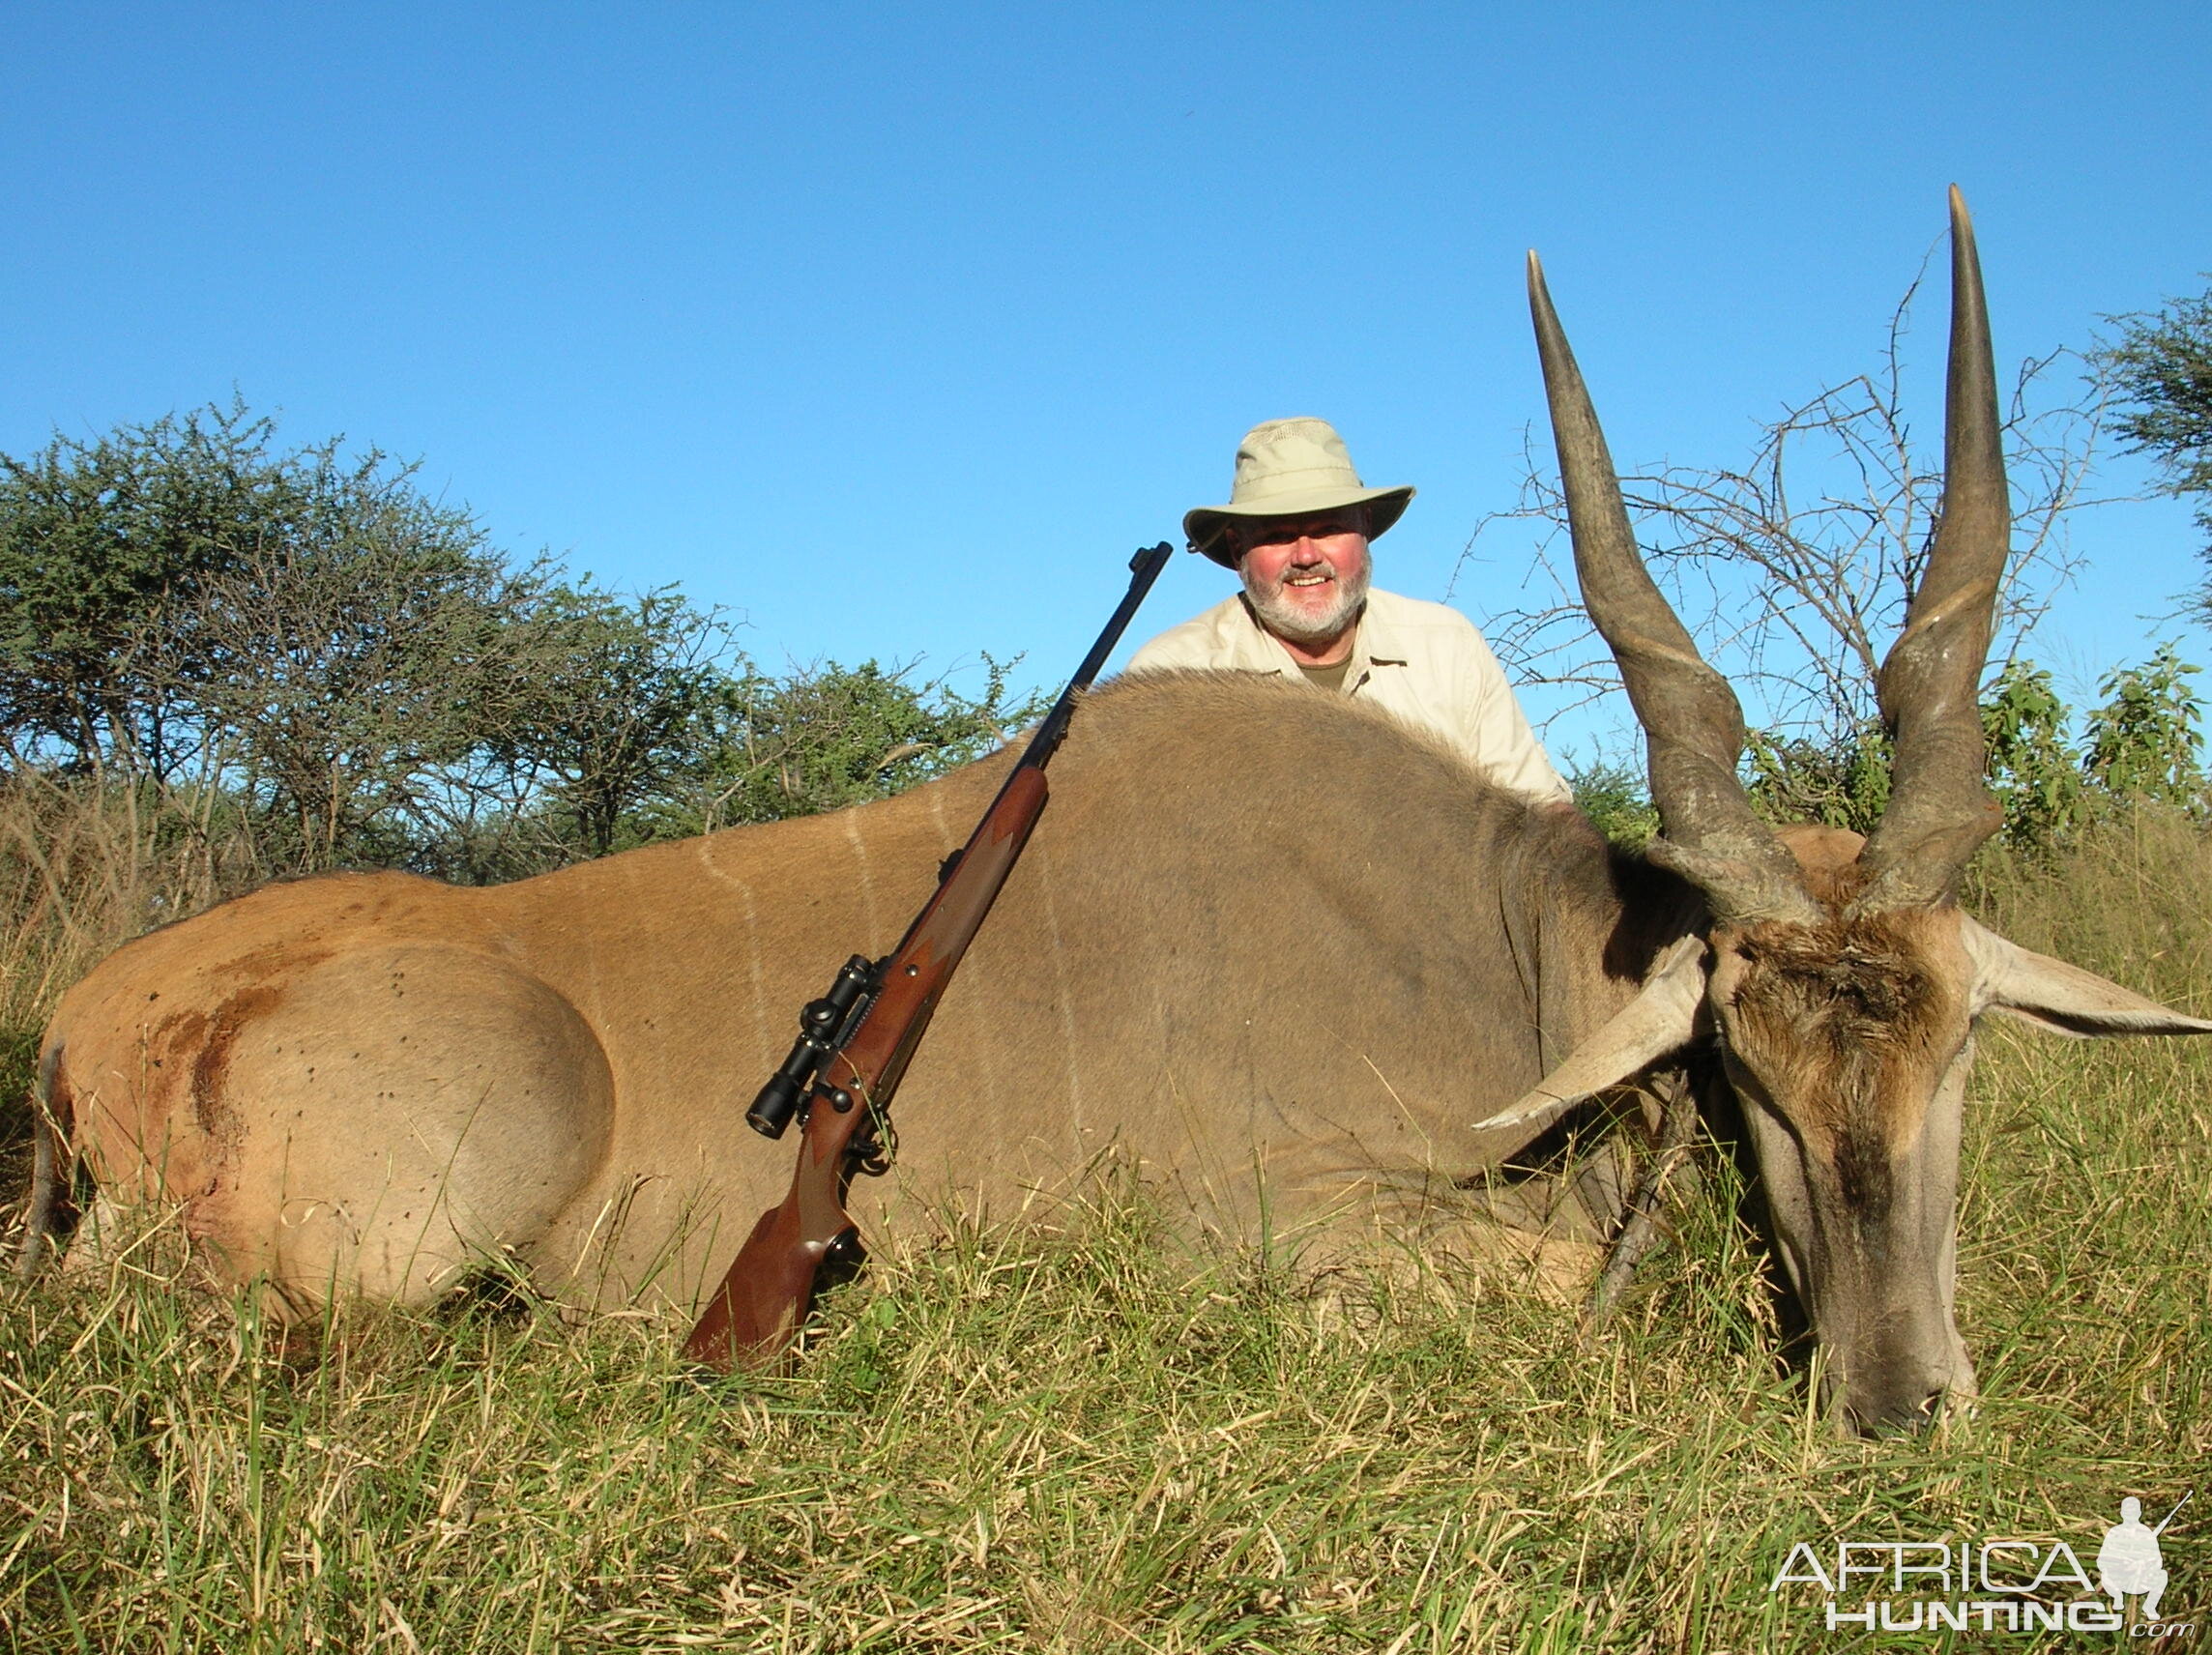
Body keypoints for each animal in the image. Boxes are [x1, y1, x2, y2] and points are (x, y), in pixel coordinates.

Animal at [21, 189, 2212, 1434]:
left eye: (1962, 1050)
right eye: (1743, 1065)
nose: (1901, 1405)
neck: (1504, 949)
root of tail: (87, 1025)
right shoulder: (1289, 1232)